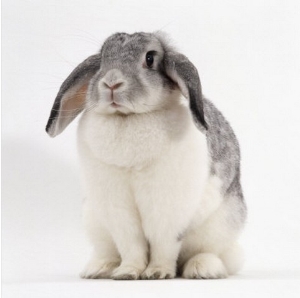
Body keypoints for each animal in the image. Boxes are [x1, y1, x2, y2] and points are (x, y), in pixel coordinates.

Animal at [45, 32, 246, 280]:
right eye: (102, 59)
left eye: (150, 59)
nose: (111, 82)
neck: (128, 117)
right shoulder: (116, 207)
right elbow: (131, 244)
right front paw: (127, 272)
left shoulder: (167, 207)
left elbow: (163, 244)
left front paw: (158, 272)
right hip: (94, 221)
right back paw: (99, 269)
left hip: (220, 226)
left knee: (212, 254)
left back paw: (202, 269)